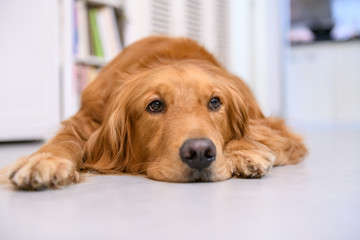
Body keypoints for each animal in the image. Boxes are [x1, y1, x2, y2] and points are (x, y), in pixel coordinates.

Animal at [1, 36, 308, 189]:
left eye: (215, 102)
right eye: (155, 105)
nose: (199, 153)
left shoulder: (271, 125)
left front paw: (246, 151)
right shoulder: (86, 119)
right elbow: (65, 139)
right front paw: (44, 160)